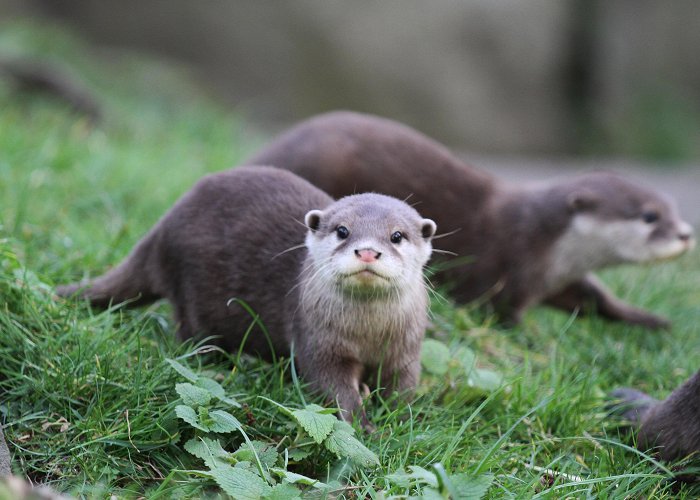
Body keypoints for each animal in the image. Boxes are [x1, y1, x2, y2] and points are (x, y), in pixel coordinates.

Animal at [58, 166, 438, 424]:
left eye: (397, 236)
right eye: (343, 231)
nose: (368, 252)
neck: (368, 333)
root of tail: (161, 229)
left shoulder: (406, 348)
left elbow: (403, 385)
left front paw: (401, 420)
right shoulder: (319, 342)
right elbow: (333, 386)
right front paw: (362, 426)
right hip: (193, 295)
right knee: (191, 333)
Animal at [247, 111, 696, 328]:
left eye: (673, 206)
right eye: (650, 215)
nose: (686, 234)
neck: (544, 242)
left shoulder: (555, 277)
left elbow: (592, 298)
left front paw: (650, 320)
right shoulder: (508, 270)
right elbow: (503, 314)